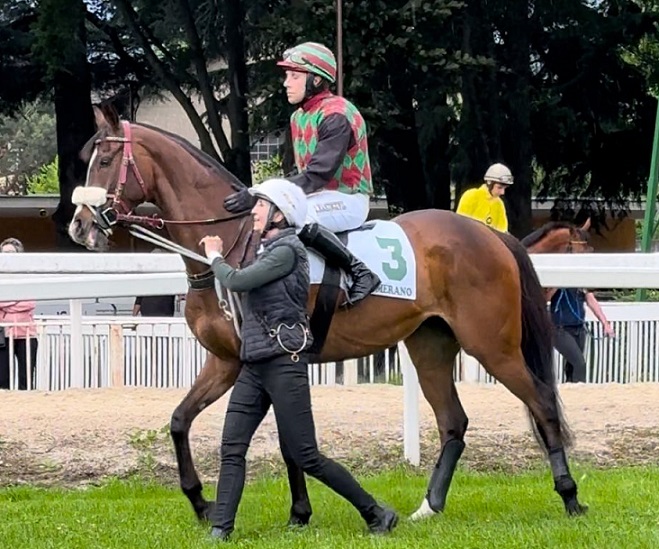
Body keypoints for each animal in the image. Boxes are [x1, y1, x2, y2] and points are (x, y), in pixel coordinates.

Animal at [67, 106, 588, 524]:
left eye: (105, 161)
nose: (80, 225)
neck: (232, 242)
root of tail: (490, 234)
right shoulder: (229, 361)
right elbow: (182, 421)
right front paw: (208, 503)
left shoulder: (252, 361)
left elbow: (282, 440)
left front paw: (292, 510)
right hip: (430, 344)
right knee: (453, 421)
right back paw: (428, 506)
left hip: (492, 345)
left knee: (542, 402)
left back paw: (570, 497)